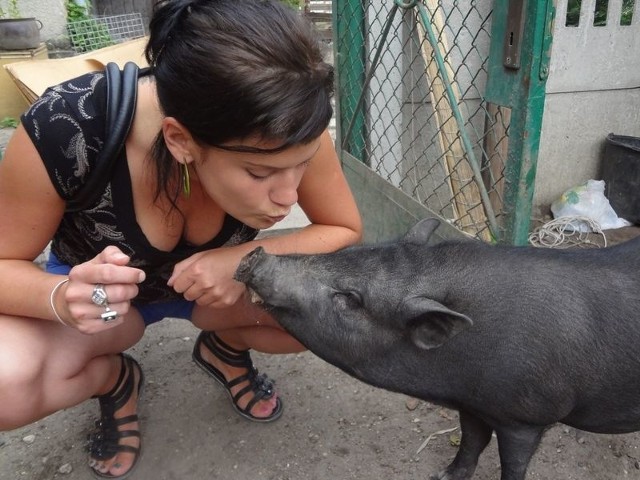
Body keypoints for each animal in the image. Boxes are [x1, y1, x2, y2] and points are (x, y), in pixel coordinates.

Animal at [235, 219, 640, 480]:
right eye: (356, 249)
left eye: (350, 299)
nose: (255, 255)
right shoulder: (473, 403)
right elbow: (472, 442)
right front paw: (442, 477)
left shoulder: (526, 416)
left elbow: (512, 464)